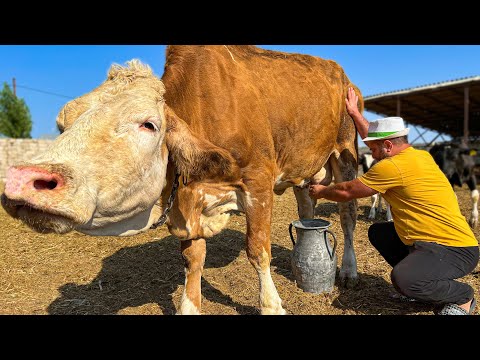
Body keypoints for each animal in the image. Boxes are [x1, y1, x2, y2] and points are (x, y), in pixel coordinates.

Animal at [1, 45, 362, 316]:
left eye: (148, 124)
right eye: (62, 125)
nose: (24, 179)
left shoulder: (258, 183)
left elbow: (257, 251)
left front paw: (272, 305)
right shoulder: (187, 203)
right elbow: (192, 259)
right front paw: (189, 306)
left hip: (346, 153)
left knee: (347, 218)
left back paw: (348, 270)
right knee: (307, 210)